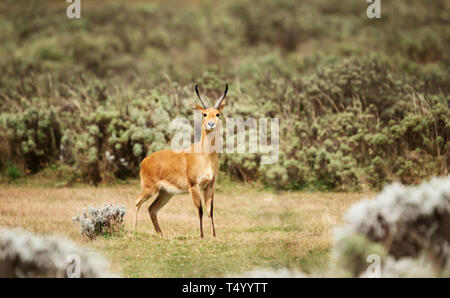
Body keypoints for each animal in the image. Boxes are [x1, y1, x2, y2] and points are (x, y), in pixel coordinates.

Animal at [132, 82, 227, 237]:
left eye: (218, 114)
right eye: (204, 114)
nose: (211, 124)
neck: (205, 156)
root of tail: (144, 161)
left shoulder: (210, 185)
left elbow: (210, 211)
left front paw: (213, 236)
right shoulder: (194, 186)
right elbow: (200, 210)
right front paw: (201, 236)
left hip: (166, 193)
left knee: (152, 209)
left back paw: (161, 234)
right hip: (150, 188)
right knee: (137, 202)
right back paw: (134, 230)